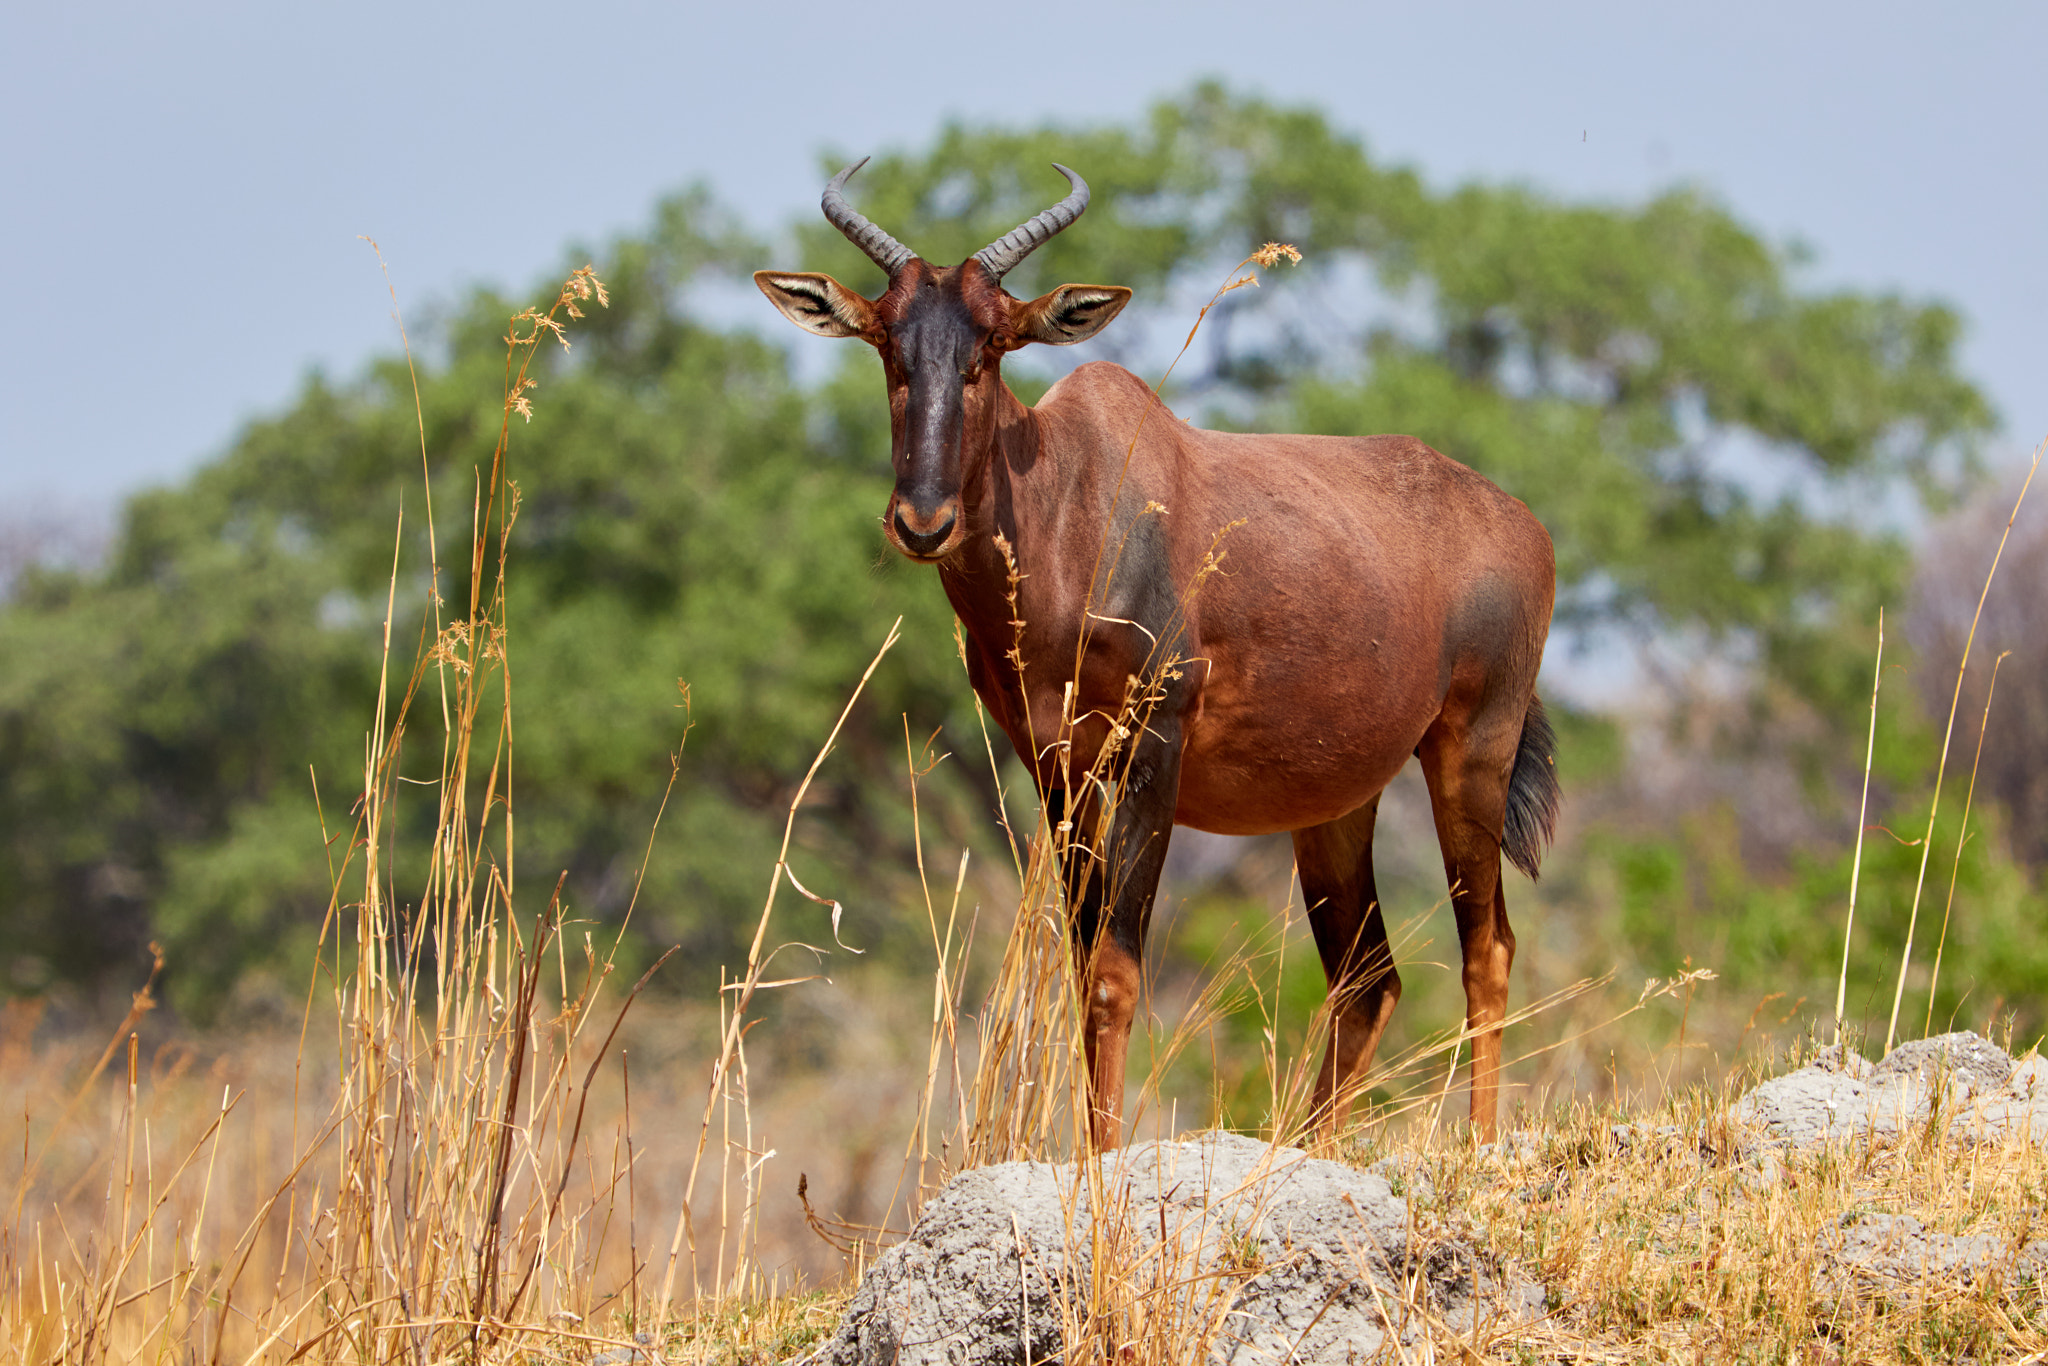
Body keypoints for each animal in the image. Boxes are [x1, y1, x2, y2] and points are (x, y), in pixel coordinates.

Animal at [761, 160, 1556, 1146]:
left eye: (991, 343)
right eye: (885, 342)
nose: (921, 521)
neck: (1075, 496)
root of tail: (1517, 521)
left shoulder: (1155, 752)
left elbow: (1115, 971)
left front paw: (1103, 1161)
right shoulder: (1055, 765)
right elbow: (1081, 967)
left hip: (1473, 751)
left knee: (1488, 949)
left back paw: (1479, 1143)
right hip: (1338, 799)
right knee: (1368, 977)